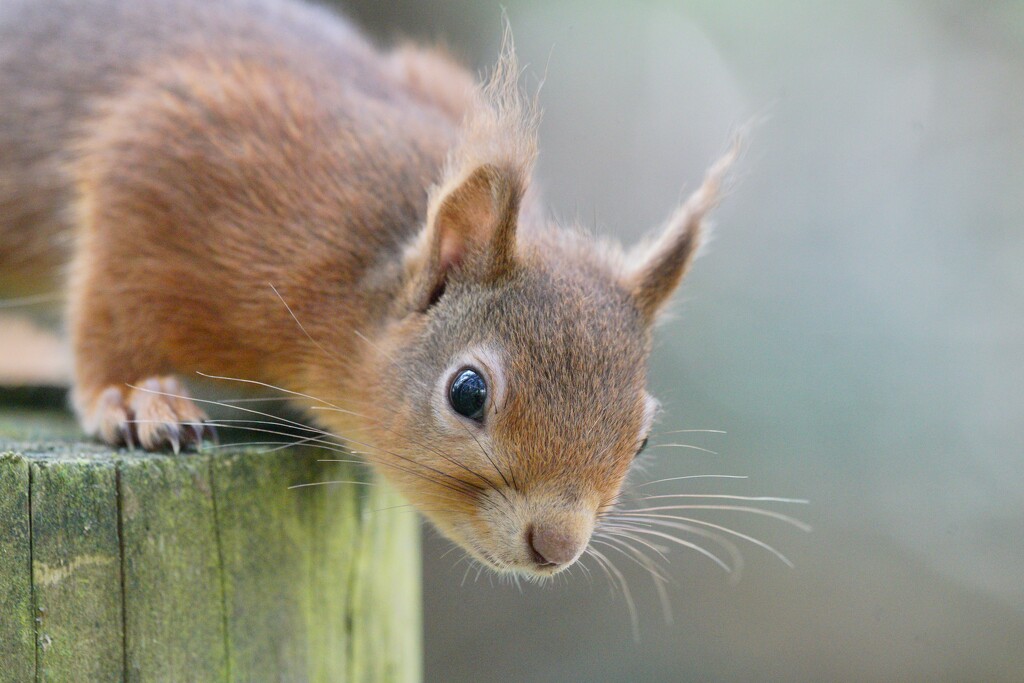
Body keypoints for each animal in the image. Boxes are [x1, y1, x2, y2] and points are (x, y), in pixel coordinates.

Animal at [2, 0, 737, 577]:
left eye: (643, 438)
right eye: (467, 392)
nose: (557, 544)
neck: (356, 285)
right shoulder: (169, 149)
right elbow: (113, 301)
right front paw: (133, 394)